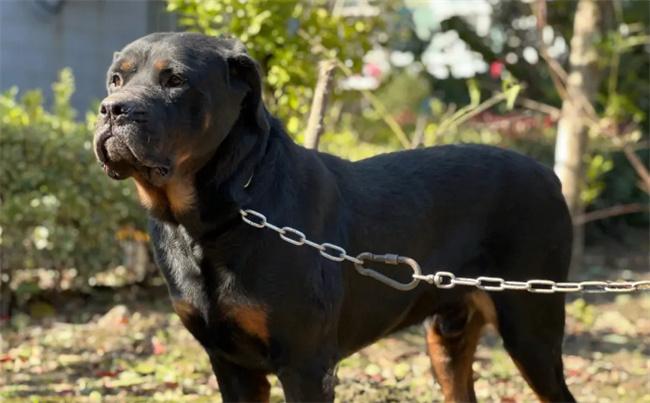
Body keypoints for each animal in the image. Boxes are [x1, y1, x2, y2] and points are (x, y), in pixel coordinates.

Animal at [95, 33, 572, 402]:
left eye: (175, 80)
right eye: (116, 79)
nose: (112, 108)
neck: (210, 219)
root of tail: (549, 174)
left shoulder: (306, 364)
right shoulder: (229, 363)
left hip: (531, 327)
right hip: (447, 338)